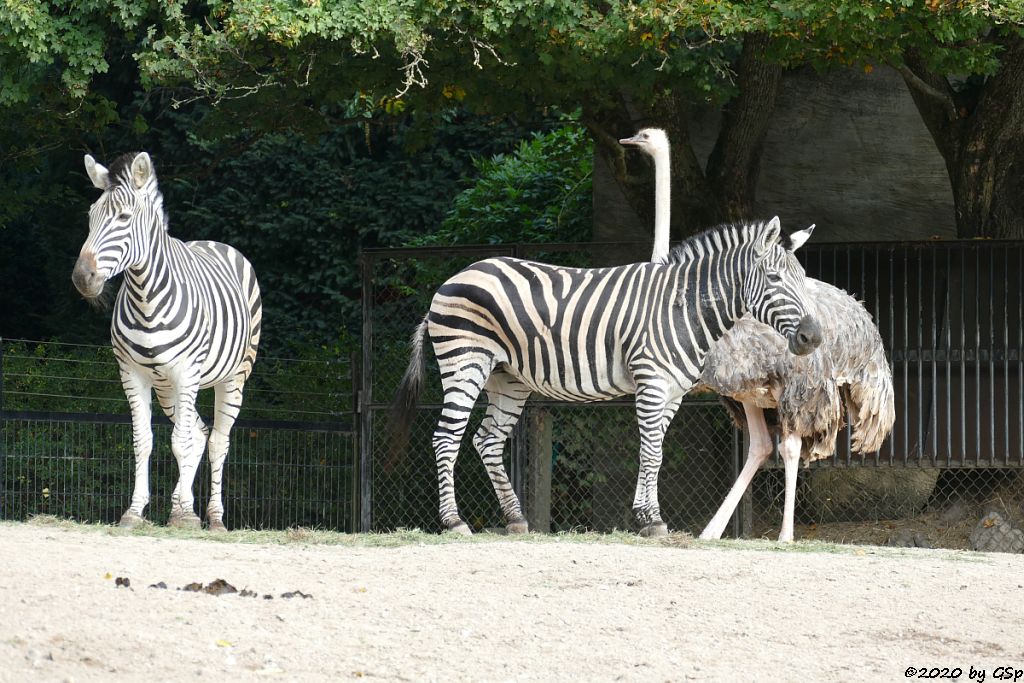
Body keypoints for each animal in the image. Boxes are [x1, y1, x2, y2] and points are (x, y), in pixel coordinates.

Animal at [72, 152, 262, 532]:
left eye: (124, 217)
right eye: (90, 216)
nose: (82, 278)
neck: (146, 296)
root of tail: (212, 242)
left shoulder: (187, 372)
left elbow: (179, 442)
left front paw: (187, 514)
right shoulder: (132, 374)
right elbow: (143, 441)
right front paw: (135, 511)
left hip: (233, 377)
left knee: (216, 440)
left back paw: (213, 517)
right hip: (165, 386)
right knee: (200, 433)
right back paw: (181, 504)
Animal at [391, 216, 823, 536]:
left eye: (803, 279)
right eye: (774, 279)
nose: (813, 337)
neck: (682, 307)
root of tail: (457, 274)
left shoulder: (673, 392)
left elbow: (656, 452)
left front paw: (649, 517)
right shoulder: (651, 381)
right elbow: (650, 451)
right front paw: (651, 519)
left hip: (507, 378)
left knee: (487, 440)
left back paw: (515, 519)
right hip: (465, 360)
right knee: (446, 438)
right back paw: (454, 521)